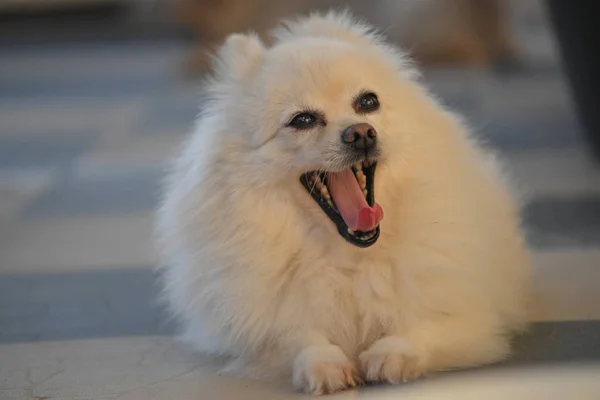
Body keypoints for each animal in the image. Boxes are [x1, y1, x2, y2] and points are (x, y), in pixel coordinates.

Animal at [157, 10, 532, 396]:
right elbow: (299, 336)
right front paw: (324, 364)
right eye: (302, 120)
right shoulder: (262, 333)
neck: (349, 255)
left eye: (368, 102)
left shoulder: (471, 320)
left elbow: (422, 328)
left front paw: (391, 354)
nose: (361, 132)